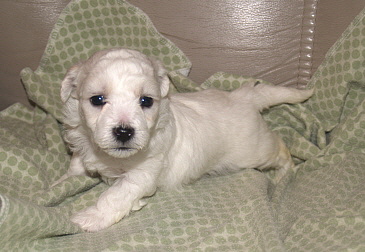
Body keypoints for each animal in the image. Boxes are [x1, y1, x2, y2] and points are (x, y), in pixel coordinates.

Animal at [55, 47, 312, 232]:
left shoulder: (142, 174)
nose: (124, 132)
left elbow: (115, 196)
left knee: (280, 149)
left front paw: (89, 218)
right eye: (97, 99)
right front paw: (60, 183)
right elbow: (75, 166)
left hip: (255, 150)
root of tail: (245, 98)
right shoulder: (83, 147)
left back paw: (283, 173)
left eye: (146, 101)